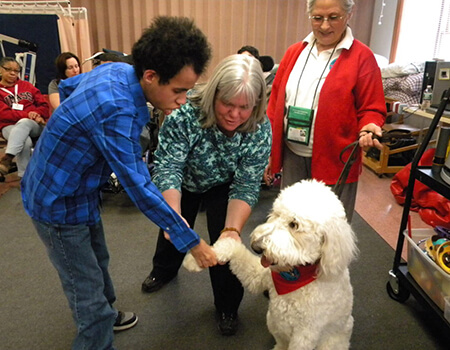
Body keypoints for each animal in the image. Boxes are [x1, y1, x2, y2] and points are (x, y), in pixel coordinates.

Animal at [183, 180, 358, 350]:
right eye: (276, 214)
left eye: (294, 224)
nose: (257, 247)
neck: (295, 274)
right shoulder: (258, 276)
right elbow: (232, 246)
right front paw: (198, 257)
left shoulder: (305, 335)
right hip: (272, 321)